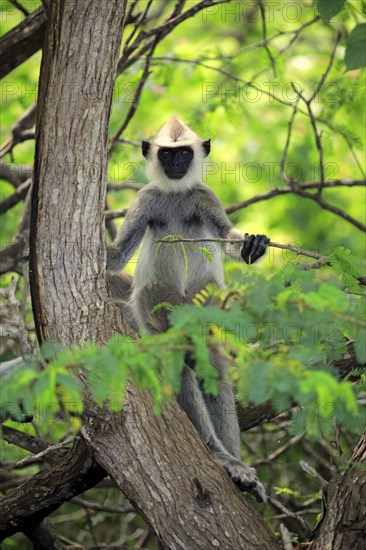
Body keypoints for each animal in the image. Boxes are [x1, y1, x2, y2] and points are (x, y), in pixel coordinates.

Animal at [106, 116, 268, 504]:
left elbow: (227, 237)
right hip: (155, 308)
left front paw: (252, 246)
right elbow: (117, 255)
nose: (177, 165)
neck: (177, 195)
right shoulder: (147, 198)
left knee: (211, 363)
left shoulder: (203, 196)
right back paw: (217, 454)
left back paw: (234, 465)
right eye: (167, 154)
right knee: (178, 362)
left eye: (183, 153)